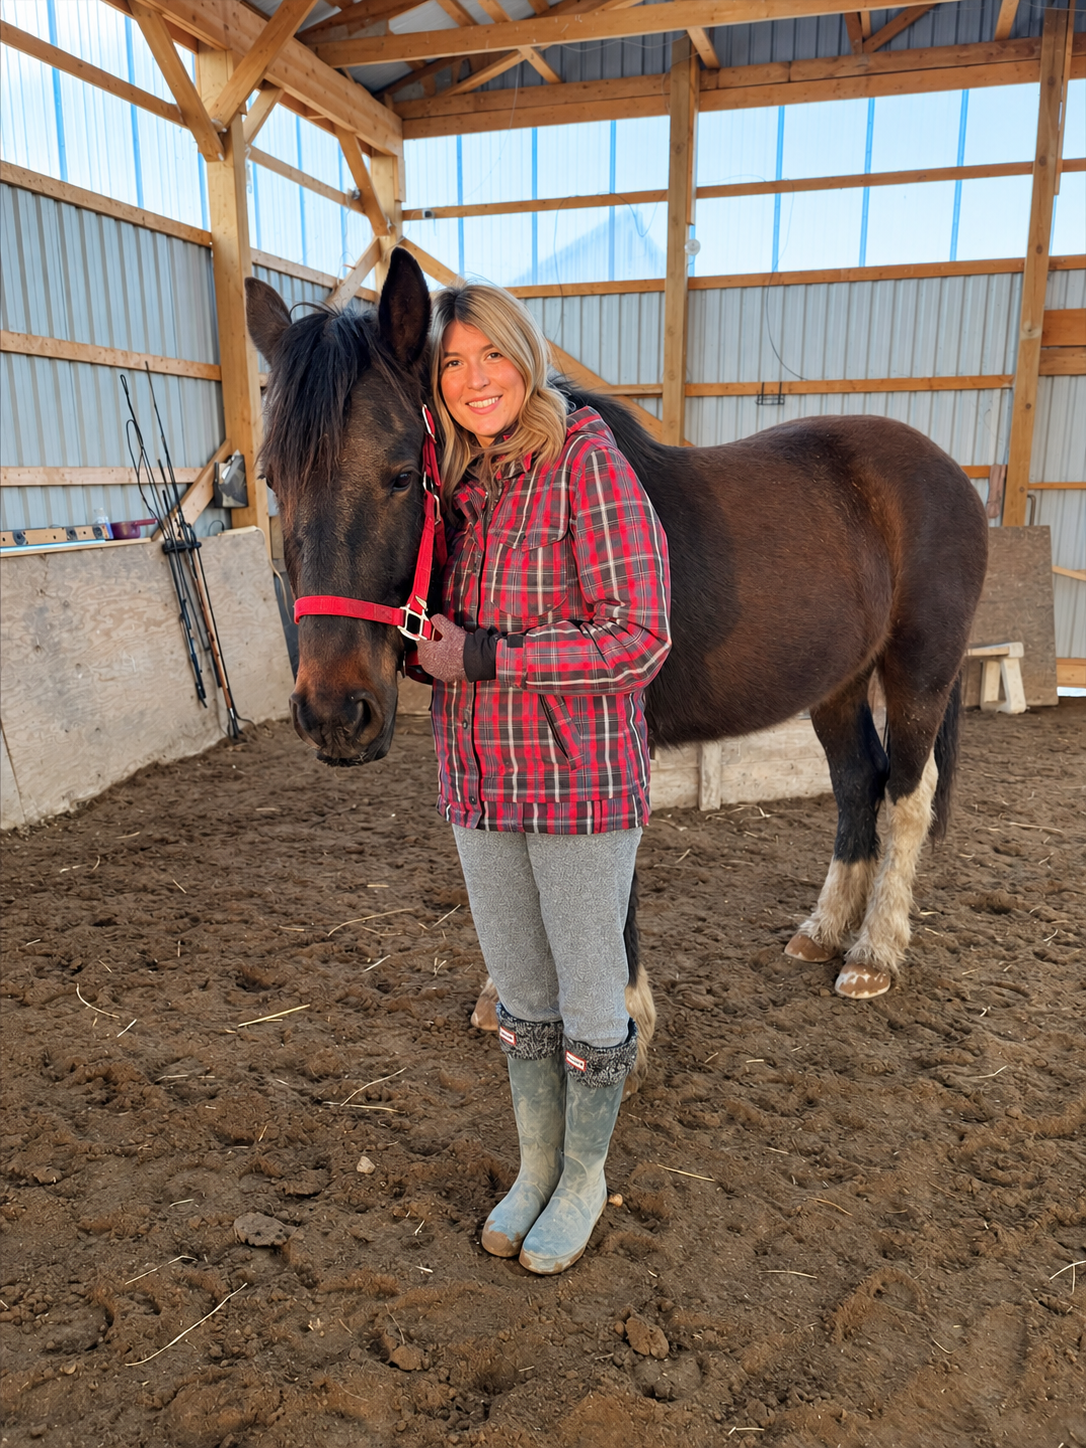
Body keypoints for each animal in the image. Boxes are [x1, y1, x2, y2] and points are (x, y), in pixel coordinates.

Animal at [245, 246, 988, 1086]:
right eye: (274, 480)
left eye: (403, 474)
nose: (335, 714)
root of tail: (947, 472)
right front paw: (505, 995)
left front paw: (626, 1020)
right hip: (837, 682)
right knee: (858, 781)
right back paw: (825, 930)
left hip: (920, 671)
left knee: (907, 795)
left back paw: (874, 954)